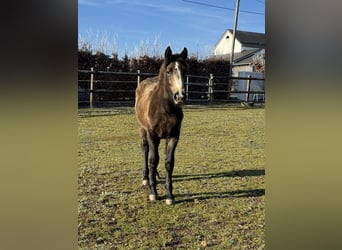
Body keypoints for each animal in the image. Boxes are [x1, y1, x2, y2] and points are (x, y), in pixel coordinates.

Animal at [134, 46, 188, 205]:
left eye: (185, 71)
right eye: (169, 71)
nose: (180, 96)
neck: (165, 109)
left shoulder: (173, 137)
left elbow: (169, 163)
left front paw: (170, 195)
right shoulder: (152, 135)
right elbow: (153, 160)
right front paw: (153, 193)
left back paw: (156, 175)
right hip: (143, 130)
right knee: (146, 150)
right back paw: (146, 178)